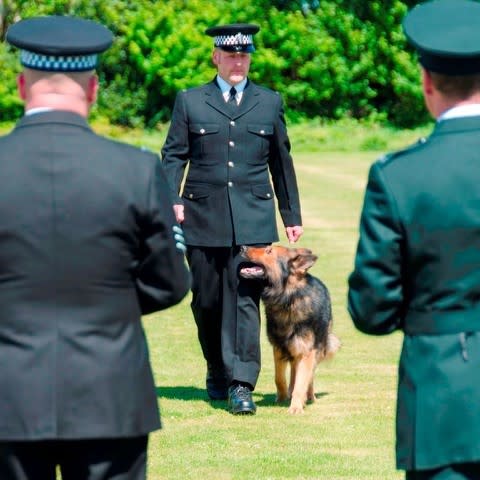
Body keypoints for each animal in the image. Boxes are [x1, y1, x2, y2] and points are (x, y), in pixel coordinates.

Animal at [239, 246, 338, 414]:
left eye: (269, 251)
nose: (243, 247)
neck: (288, 298)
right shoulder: (279, 347)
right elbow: (279, 377)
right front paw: (282, 397)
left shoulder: (307, 352)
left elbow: (302, 381)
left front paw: (296, 406)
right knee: (293, 370)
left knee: (309, 376)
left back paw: (309, 396)